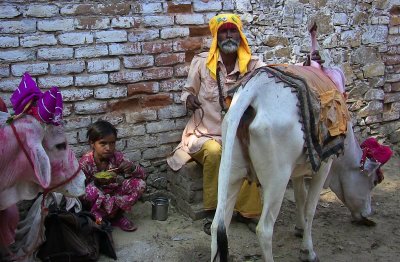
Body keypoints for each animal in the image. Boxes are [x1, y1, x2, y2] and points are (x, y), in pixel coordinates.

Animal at [211, 66, 392, 262]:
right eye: (374, 182)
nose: (367, 213)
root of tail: (253, 90)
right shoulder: (324, 166)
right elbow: (310, 208)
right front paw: (308, 251)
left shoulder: (296, 172)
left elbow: (300, 197)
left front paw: (300, 227)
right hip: (277, 180)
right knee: (264, 230)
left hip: (231, 173)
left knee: (218, 225)